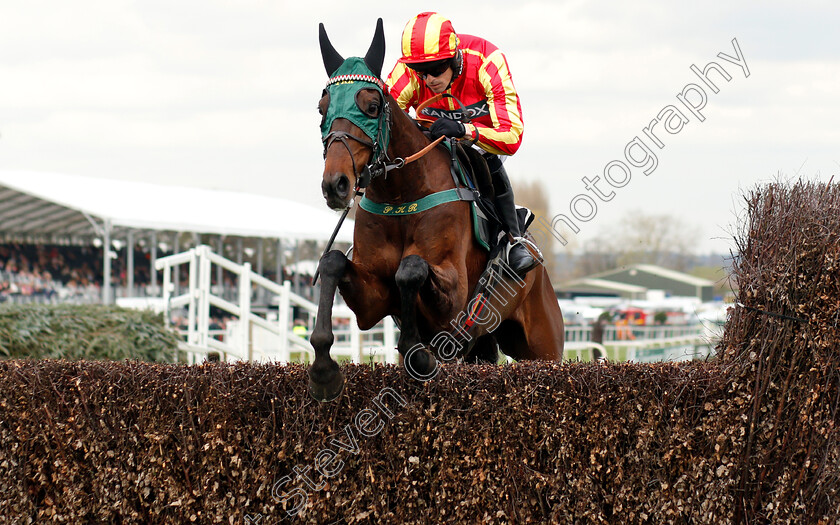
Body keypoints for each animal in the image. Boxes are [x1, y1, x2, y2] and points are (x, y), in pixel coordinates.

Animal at [308, 18, 564, 400]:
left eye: (372, 106)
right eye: (322, 108)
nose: (335, 184)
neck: (402, 195)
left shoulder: (453, 298)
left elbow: (411, 268)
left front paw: (418, 354)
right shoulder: (373, 300)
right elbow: (333, 262)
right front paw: (324, 371)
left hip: (544, 345)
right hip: (483, 344)